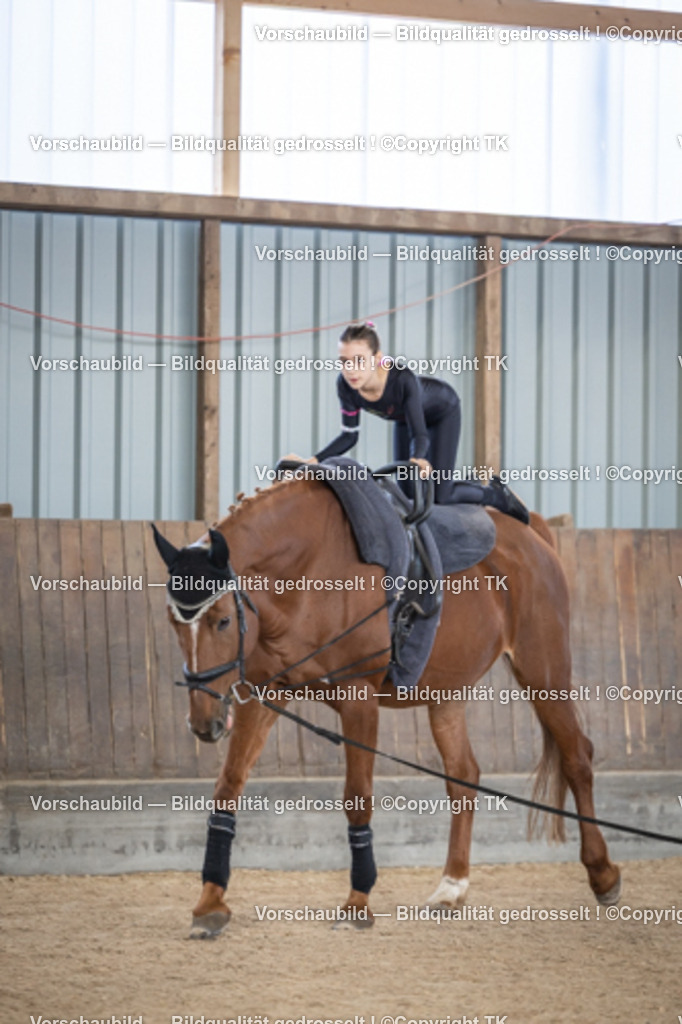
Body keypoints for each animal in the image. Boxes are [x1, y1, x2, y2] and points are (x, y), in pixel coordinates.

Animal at [152, 475, 622, 937]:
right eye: (173, 622)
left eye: (223, 621)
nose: (204, 723)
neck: (309, 571)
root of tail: (533, 535)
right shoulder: (266, 693)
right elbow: (228, 786)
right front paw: (210, 903)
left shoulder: (359, 699)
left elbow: (358, 797)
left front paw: (357, 904)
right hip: (447, 694)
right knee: (464, 776)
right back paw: (452, 887)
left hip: (543, 670)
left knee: (577, 756)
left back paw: (603, 875)